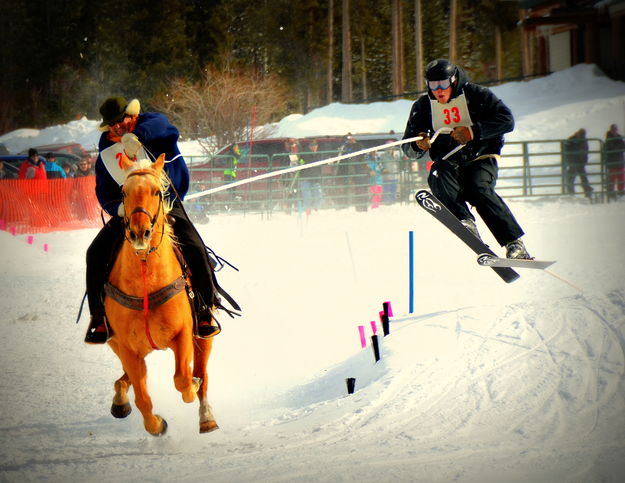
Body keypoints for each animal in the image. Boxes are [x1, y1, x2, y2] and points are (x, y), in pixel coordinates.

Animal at [103, 153, 218, 436]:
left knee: (203, 373)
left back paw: (206, 416)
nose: (139, 232)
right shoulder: (127, 347)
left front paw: (193, 386)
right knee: (127, 378)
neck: (146, 279)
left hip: (204, 334)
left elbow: (183, 380)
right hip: (118, 345)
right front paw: (156, 425)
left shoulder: (183, 335)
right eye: (124, 192)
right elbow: (143, 398)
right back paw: (120, 399)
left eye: (156, 191)